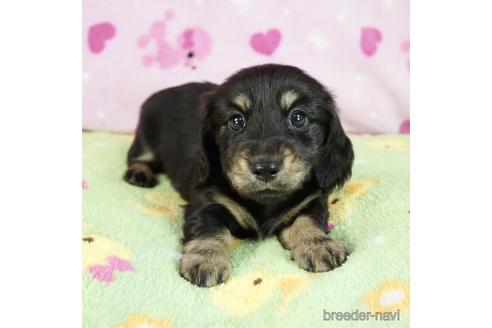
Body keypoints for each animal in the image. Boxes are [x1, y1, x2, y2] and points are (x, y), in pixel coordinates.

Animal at [123, 62, 354, 286]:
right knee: (138, 157)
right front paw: (206, 259)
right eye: (236, 120)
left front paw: (318, 245)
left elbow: (308, 220)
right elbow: (209, 228)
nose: (265, 168)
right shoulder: (205, 201)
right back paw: (139, 173)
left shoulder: (313, 200)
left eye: (298, 117)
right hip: (145, 138)